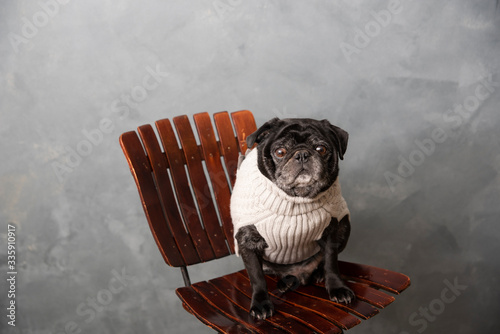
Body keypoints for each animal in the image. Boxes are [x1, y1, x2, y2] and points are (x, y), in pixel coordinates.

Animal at [231, 117, 356, 318]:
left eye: (321, 149)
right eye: (280, 152)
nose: (302, 154)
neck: (296, 198)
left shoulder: (332, 230)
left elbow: (331, 262)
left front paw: (337, 287)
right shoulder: (247, 241)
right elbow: (257, 277)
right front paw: (260, 303)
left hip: (345, 225)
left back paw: (317, 274)